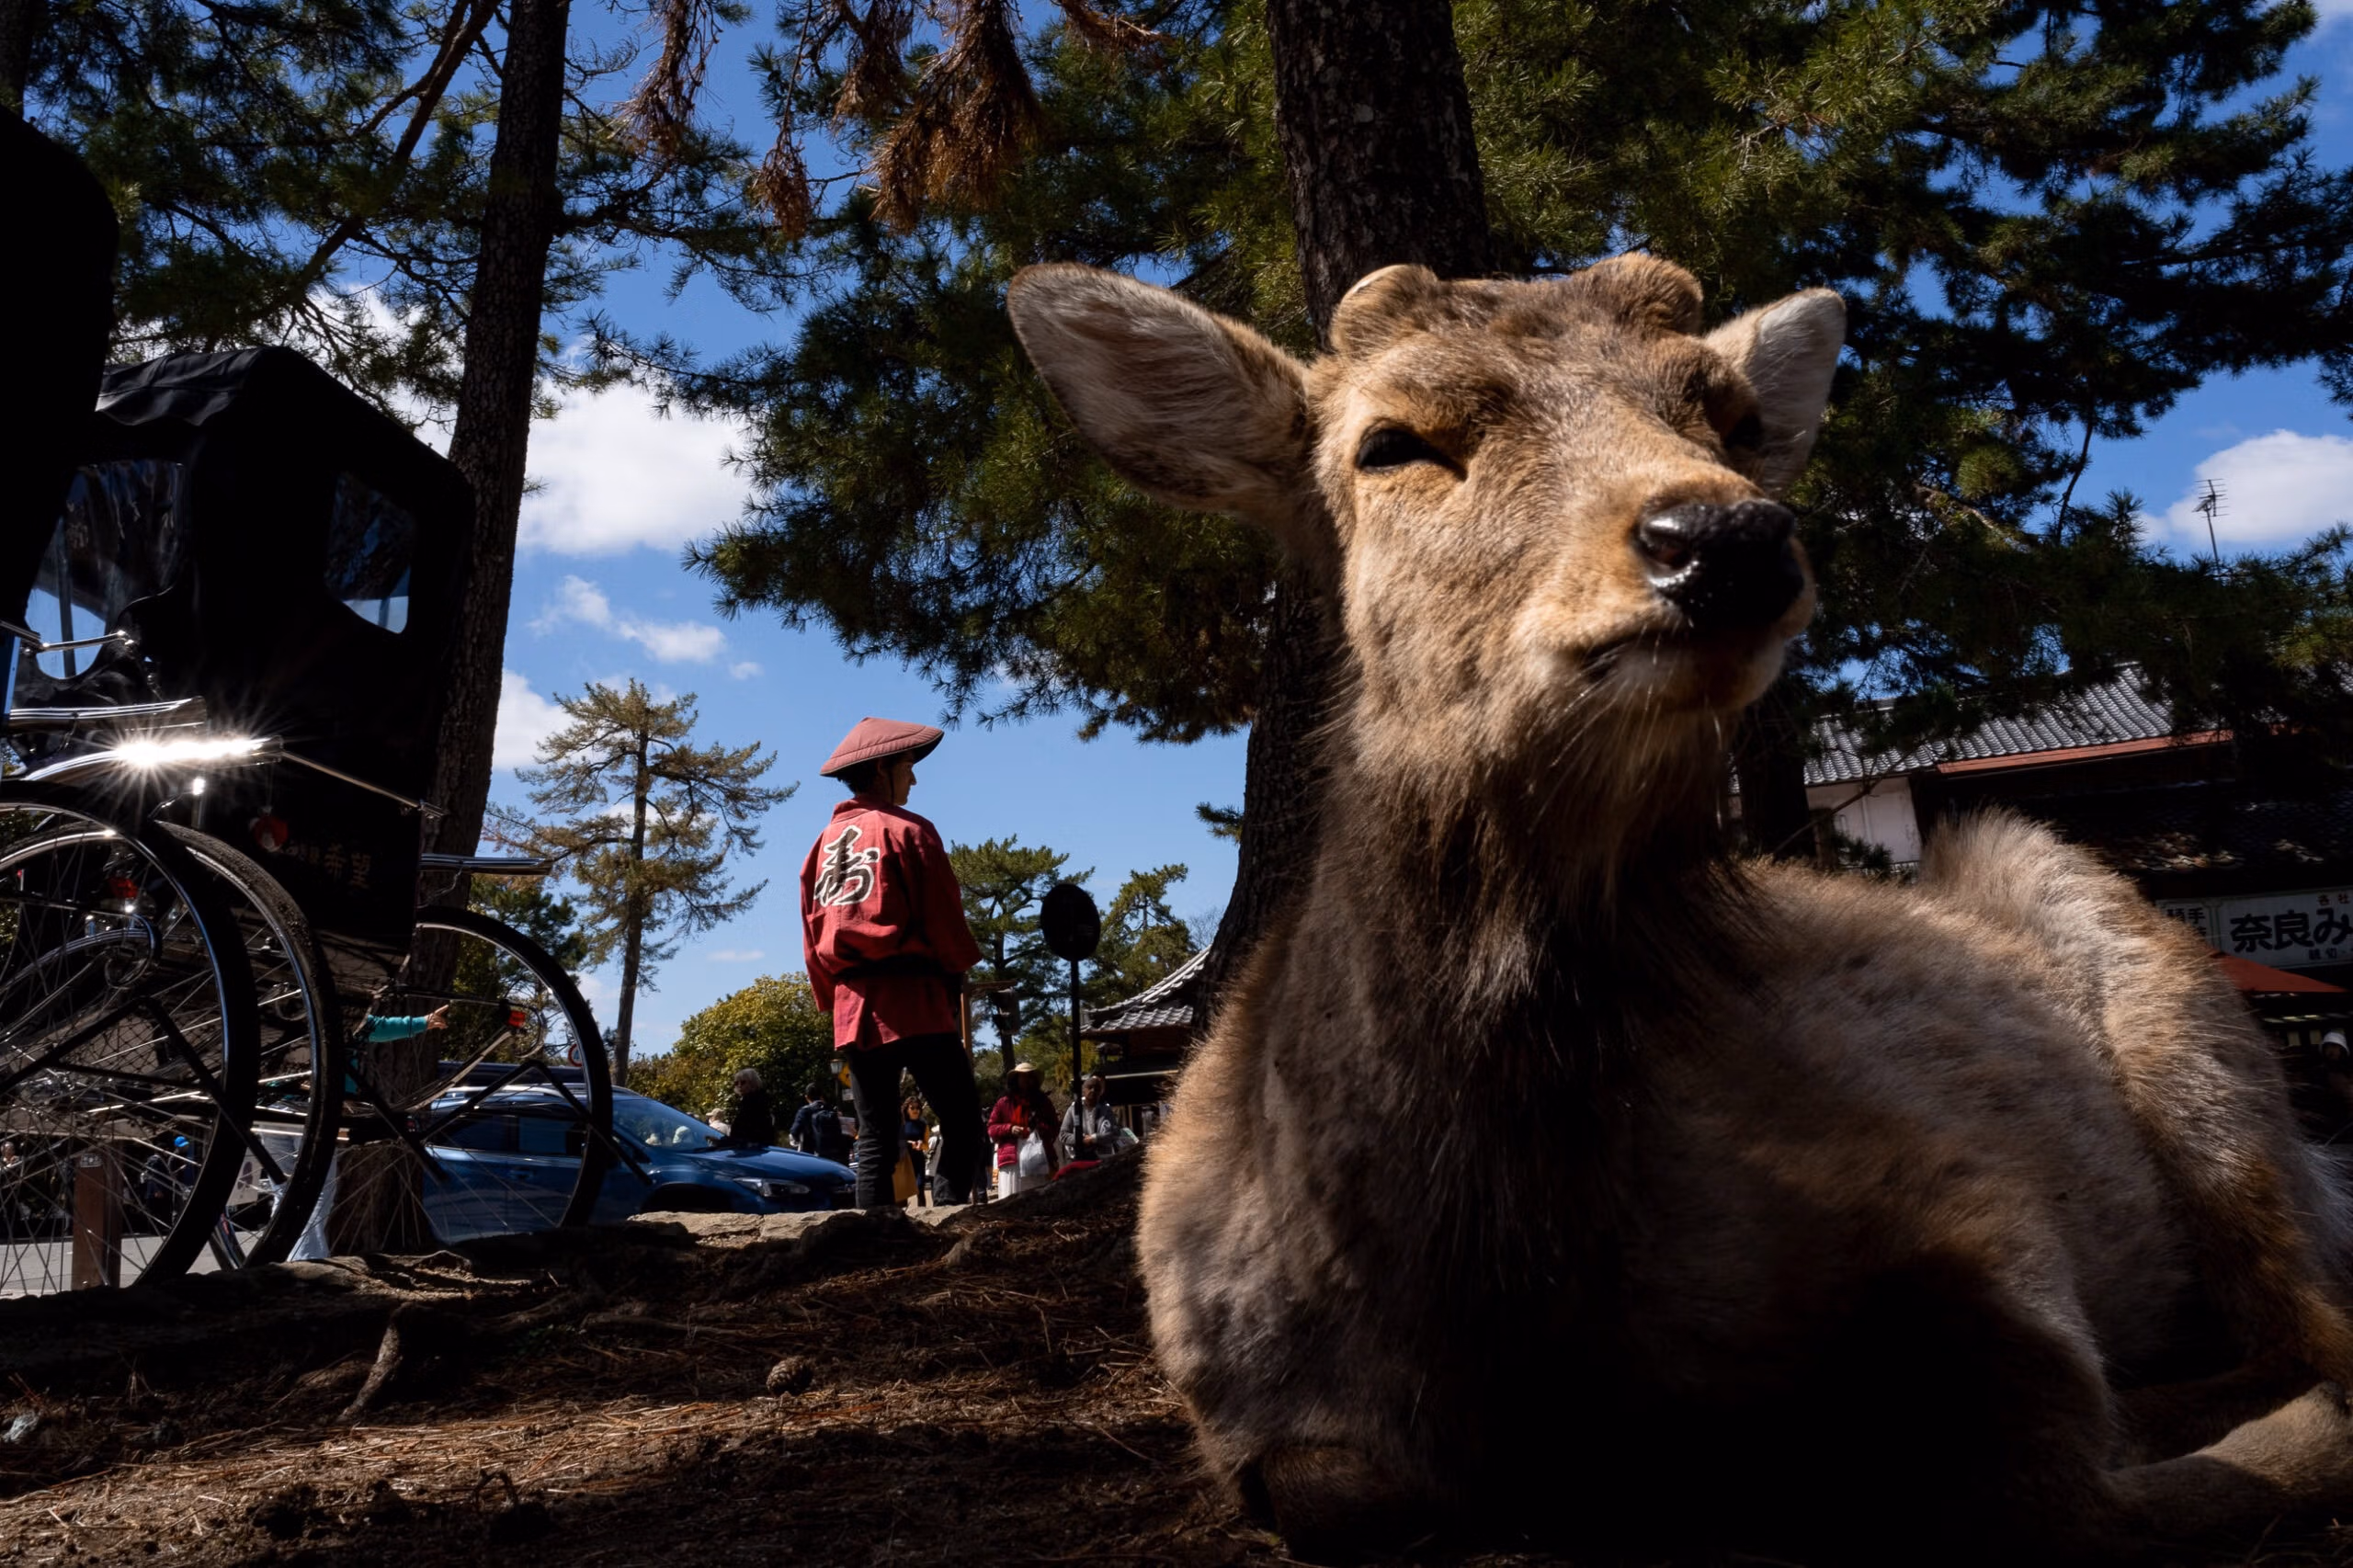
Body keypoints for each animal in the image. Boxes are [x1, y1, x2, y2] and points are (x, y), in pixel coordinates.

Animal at [1005, 255, 2353, 1564]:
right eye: (1389, 441)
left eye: (1732, 416)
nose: (1724, 535)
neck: (1498, 1302)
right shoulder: (1242, 1398)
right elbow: (1333, 1496)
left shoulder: (1958, 1188)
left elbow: (2046, 1484)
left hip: (2169, 1006)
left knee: (2308, 1303)